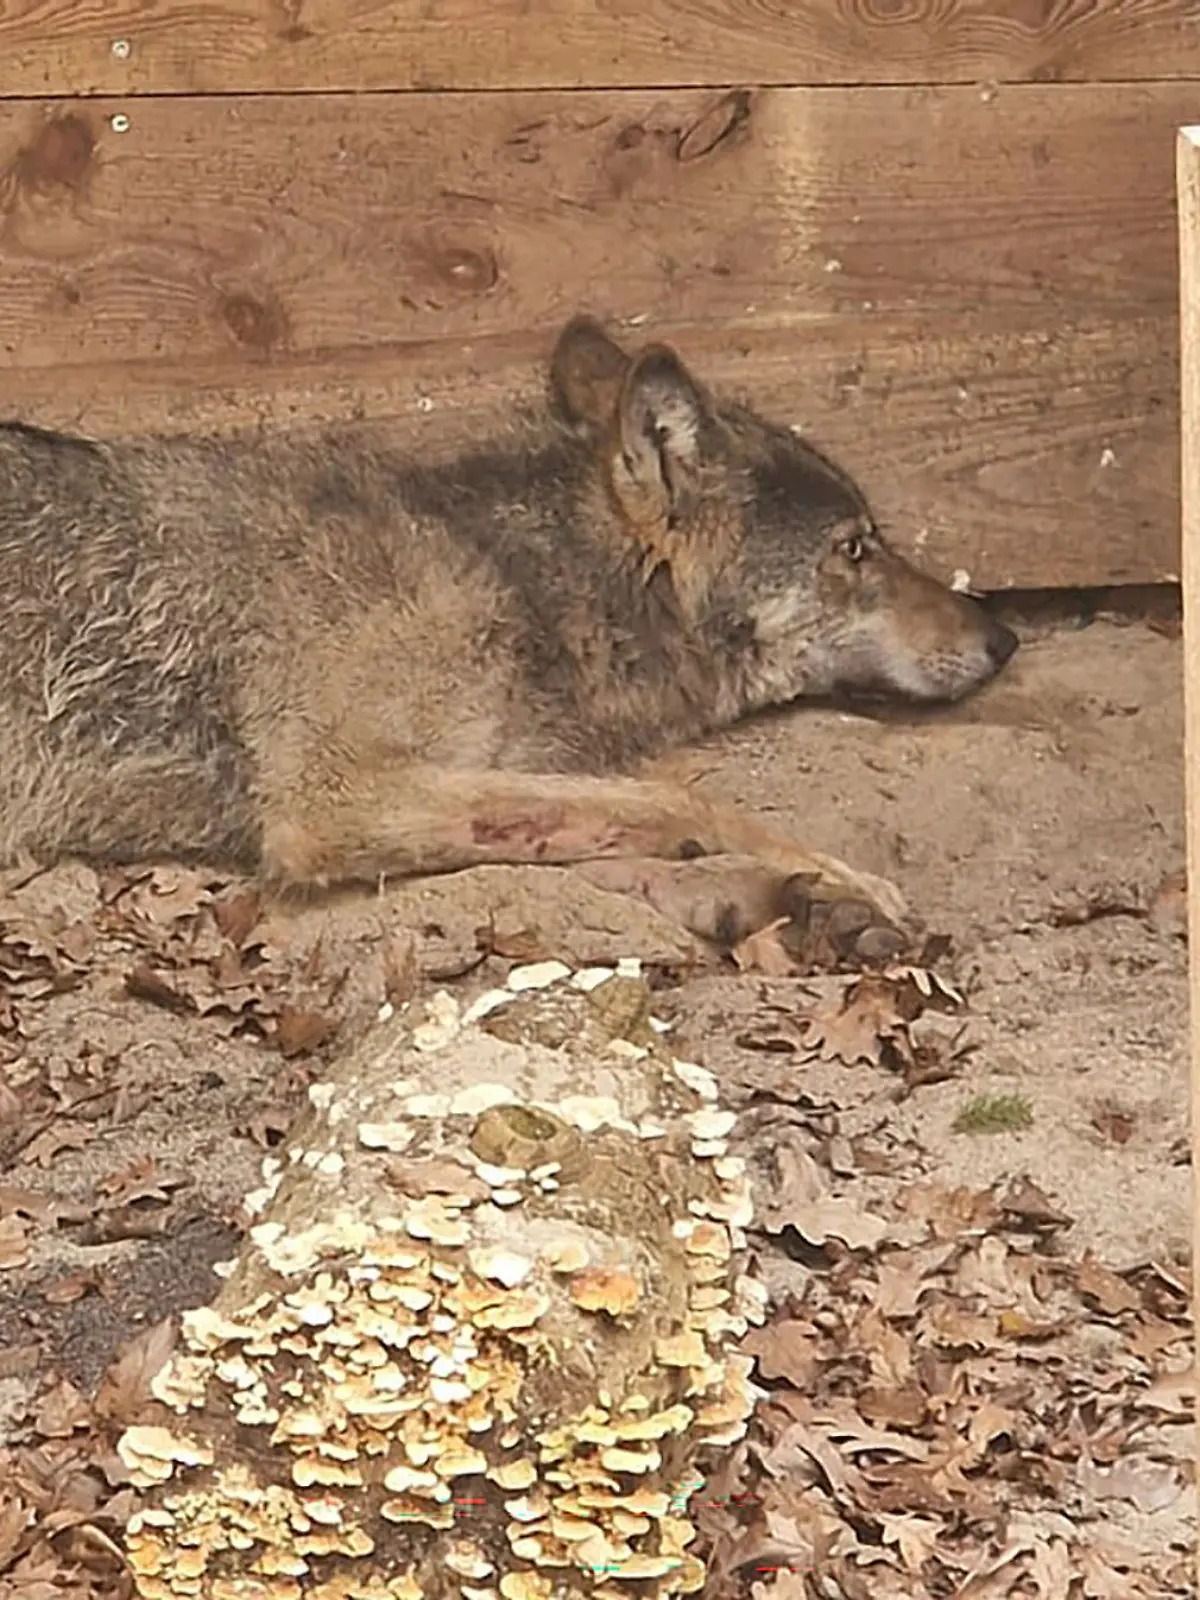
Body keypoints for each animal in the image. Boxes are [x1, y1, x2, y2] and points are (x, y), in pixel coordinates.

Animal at [0, 315, 1016, 939]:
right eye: (855, 549)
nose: (1003, 638)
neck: (517, 580)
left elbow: (612, 843)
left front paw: (770, 897)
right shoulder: (331, 802)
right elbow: (684, 804)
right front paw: (836, 878)